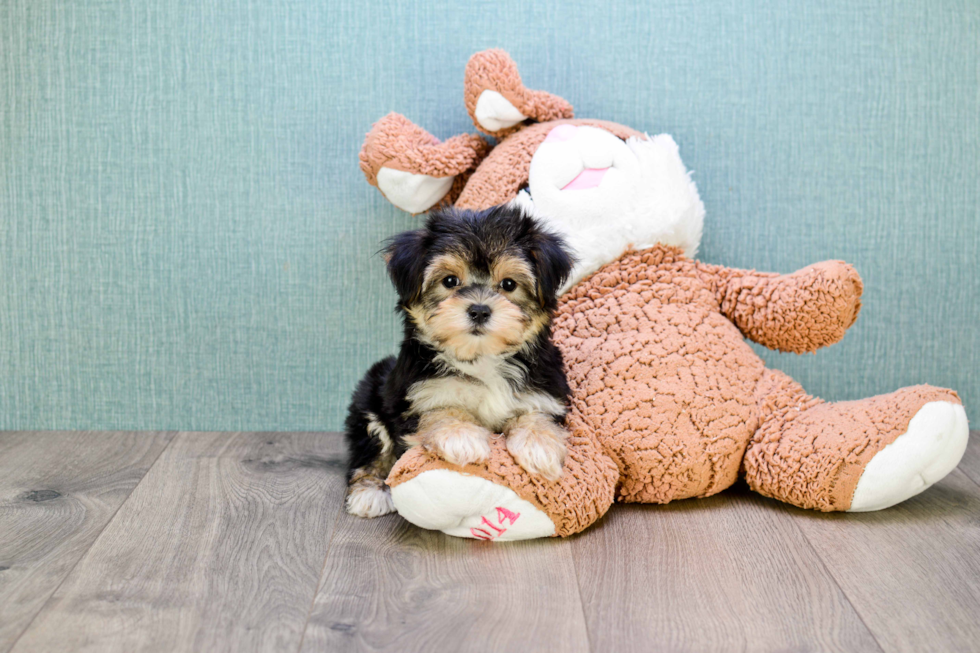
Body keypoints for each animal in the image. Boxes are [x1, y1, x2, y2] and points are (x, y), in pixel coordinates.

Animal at [344, 204, 576, 520]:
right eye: (450, 281)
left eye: (509, 284)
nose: (479, 310)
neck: (481, 358)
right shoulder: (420, 395)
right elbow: (443, 410)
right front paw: (461, 437)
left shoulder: (543, 392)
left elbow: (536, 414)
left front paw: (539, 445)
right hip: (369, 399)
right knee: (372, 449)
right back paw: (369, 491)